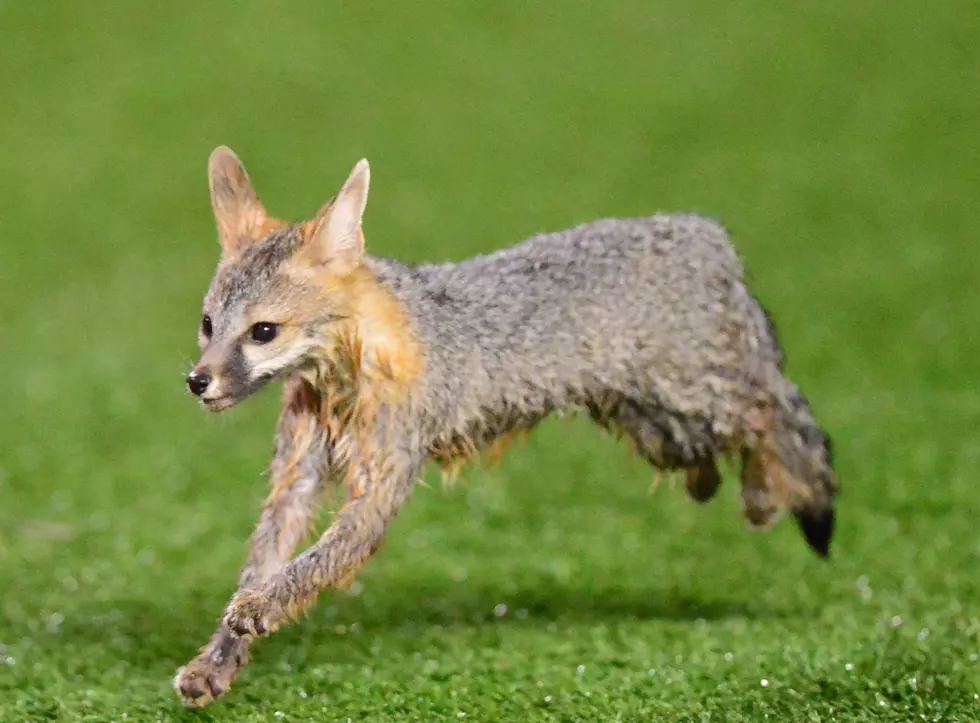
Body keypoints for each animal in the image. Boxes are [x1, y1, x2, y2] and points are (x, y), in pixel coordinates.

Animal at [173, 146, 838, 707]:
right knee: (730, 450)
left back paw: (776, 490)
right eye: (207, 325)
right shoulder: (298, 481)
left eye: (263, 332)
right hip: (662, 429)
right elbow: (265, 559)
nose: (196, 381)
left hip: (696, 403)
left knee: (777, 413)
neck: (343, 377)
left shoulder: (378, 488)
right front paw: (216, 661)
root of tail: (706, 231)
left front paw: (261, 606)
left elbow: (309, 565)